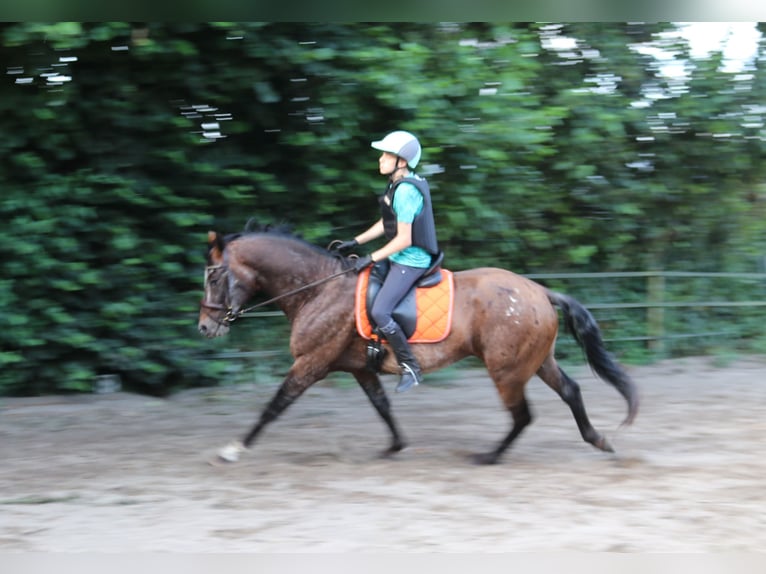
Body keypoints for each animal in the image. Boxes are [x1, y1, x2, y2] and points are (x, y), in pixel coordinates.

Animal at [200, 227, 640, 466]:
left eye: (214, 277)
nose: (206, 326)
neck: (318, 289)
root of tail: (539, 291)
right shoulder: (358, 367)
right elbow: (382, 406)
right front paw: (395, 446)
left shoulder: (311, 362)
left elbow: (274, 405)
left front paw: (233, 449)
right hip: (535, 361)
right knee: (570, 391)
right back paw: (598, 440)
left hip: (507, 370)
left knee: (523, 415)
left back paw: (490, 457)